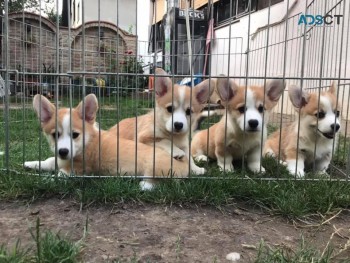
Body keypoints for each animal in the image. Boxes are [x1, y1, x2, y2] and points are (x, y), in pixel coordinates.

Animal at [23, 94, 189, 189]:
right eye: (55, 135)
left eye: (75, 135)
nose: (63, 151)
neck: (86, 142)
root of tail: (186, 162)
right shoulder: (60, 159)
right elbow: (49, 161)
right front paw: (31, 164)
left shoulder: (77, 170)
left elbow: (58, 176)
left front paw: (43, 181)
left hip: (154, 167)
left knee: (165, 183)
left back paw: (144, 185)